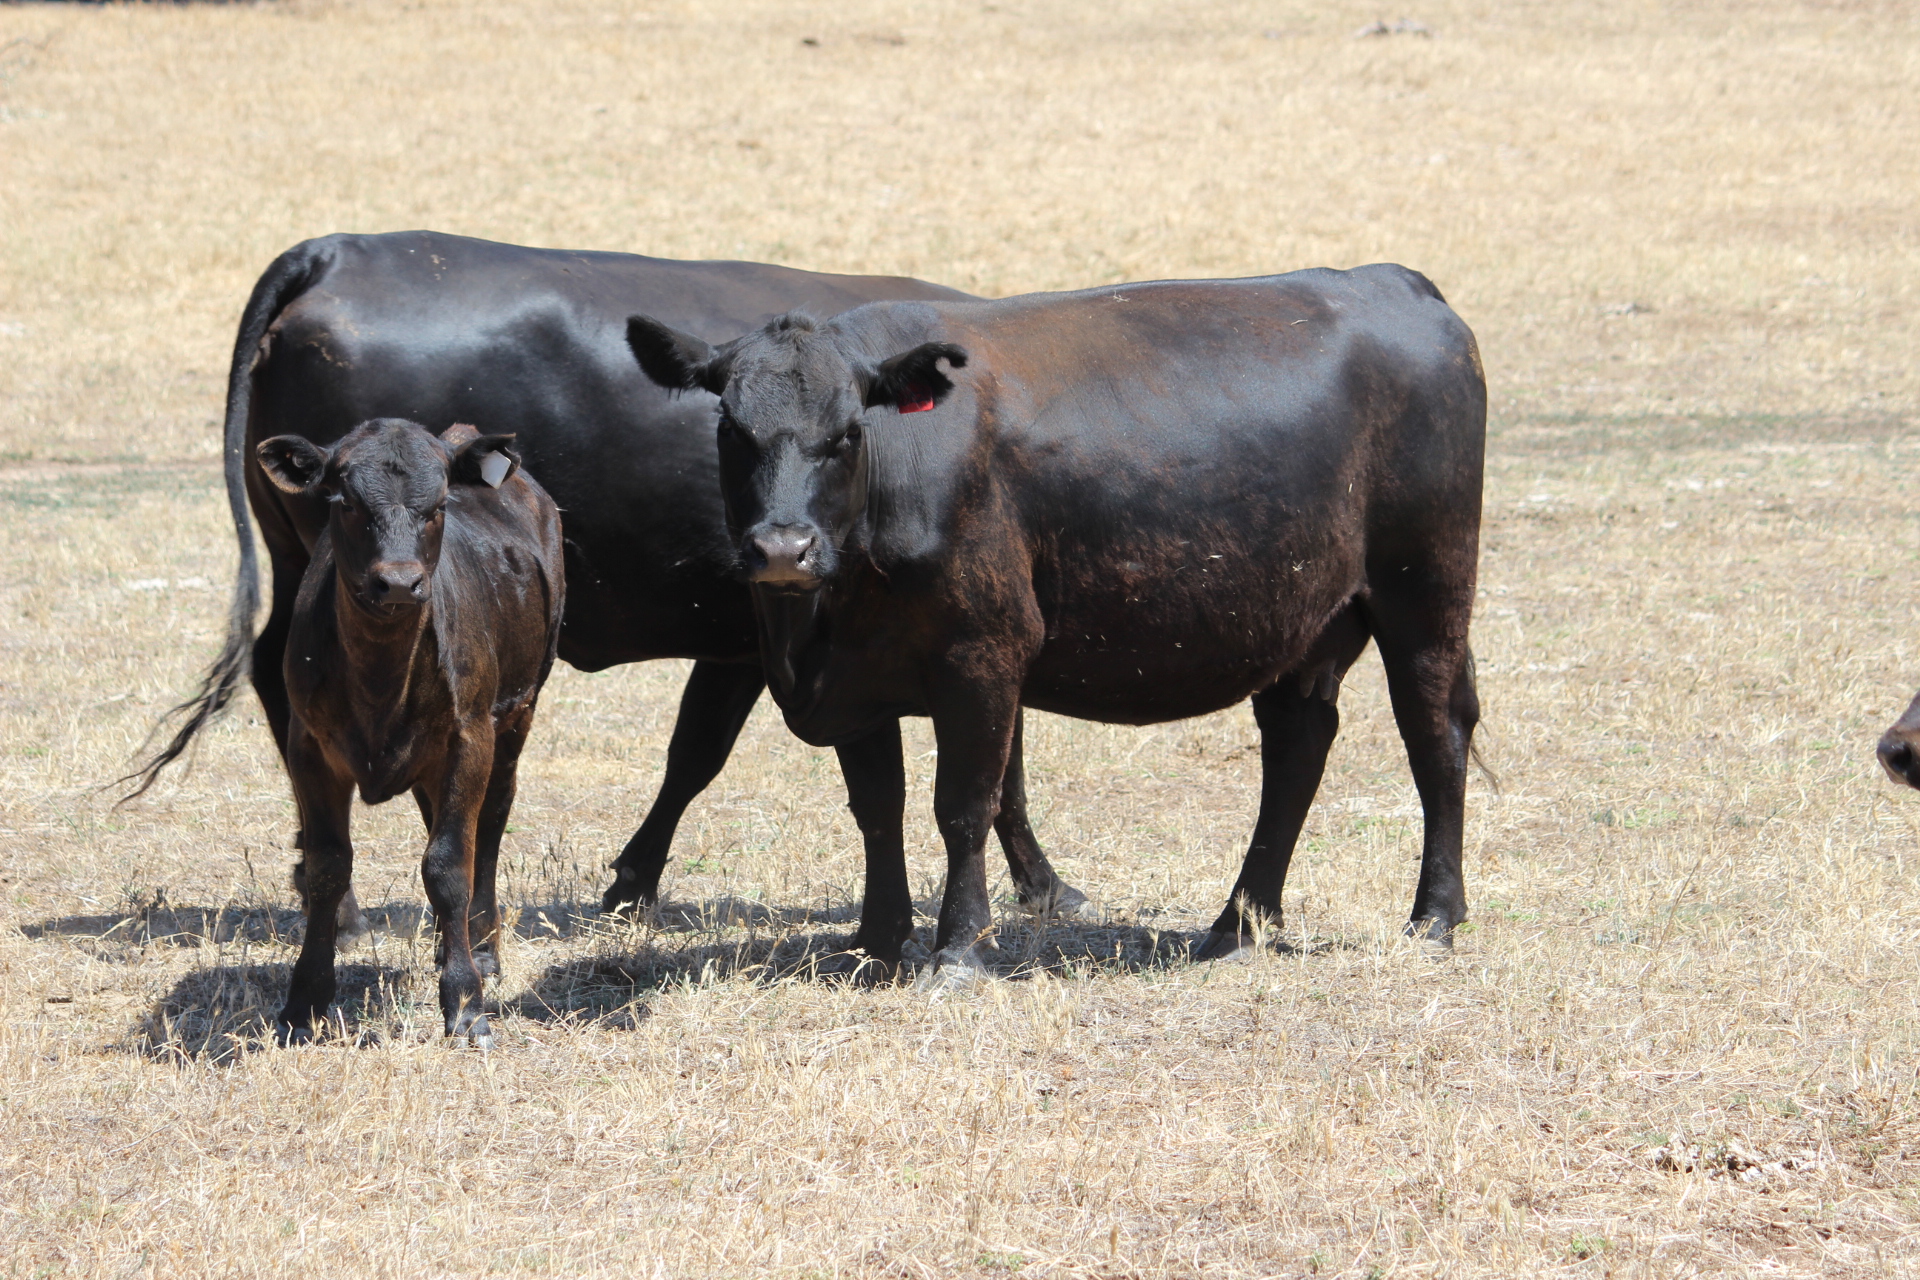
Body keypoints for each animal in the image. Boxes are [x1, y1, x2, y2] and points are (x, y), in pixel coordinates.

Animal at [123, 232, 1086, 973]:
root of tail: (335, 250)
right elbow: (1000, 767)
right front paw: (1044, 884)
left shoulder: (744, 640)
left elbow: (694, 750)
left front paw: (631, 881)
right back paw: (349, 903)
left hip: (304, 561)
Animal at [255, 418, 561, 1044]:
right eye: (346, 501)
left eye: (439, 505)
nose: (397, 583)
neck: (379, 678)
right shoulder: (308, 747)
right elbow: (326, 866)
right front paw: (305, 1001)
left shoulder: (470, 738)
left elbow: (449, 864)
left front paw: (465, 1001)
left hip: (516, 716)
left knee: (490, 826)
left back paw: (481, 947)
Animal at [624, 265, 1487, 984]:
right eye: (732, 430)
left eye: (846, 434)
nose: (783, 548)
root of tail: (1395, 282)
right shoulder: (857, 679)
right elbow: (877, 808)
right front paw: (878, 939)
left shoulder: (981, 655)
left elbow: (964, 805)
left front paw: (957, 951)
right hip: (1303, 622)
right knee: (1297, 747)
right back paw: (1239, 925)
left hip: (1424, 592)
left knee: (1434, 735)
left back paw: (1435, 916)